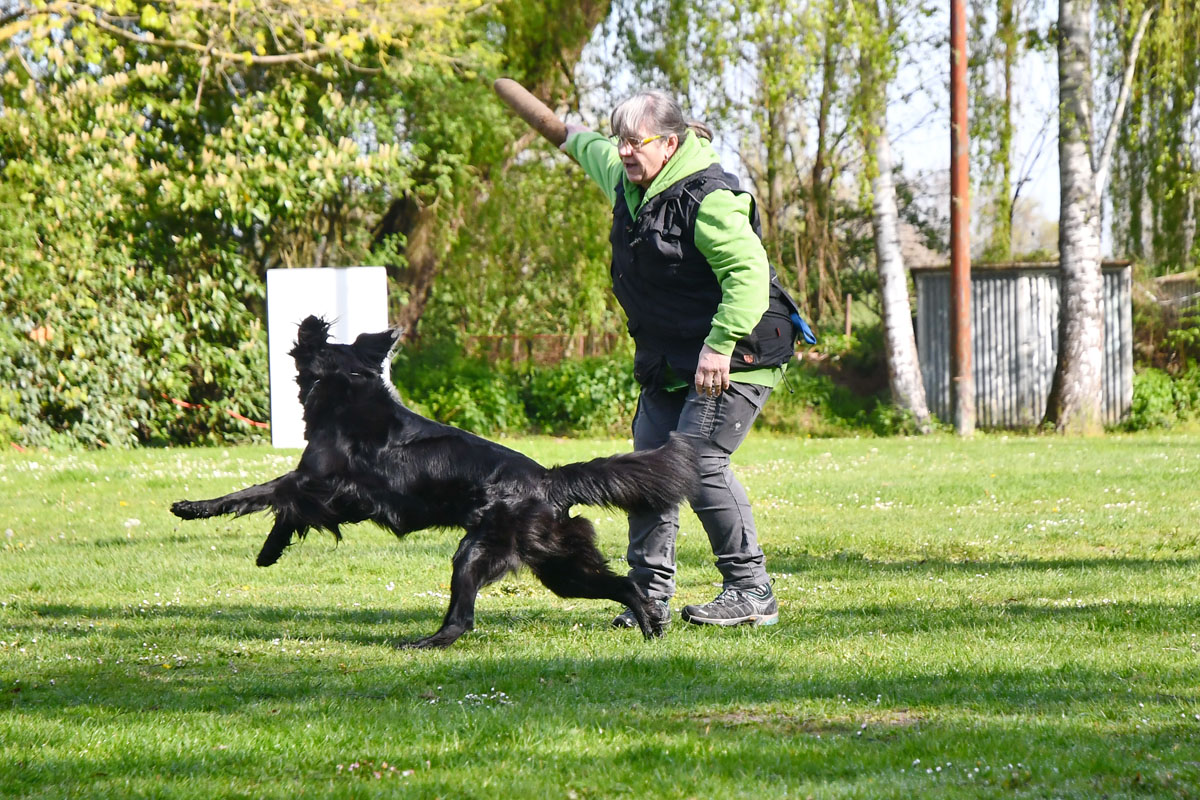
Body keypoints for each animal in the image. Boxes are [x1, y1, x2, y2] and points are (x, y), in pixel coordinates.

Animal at [168, 316, 696, 647]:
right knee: (624, 586)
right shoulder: (333, 496)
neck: (346, 389)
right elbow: (281, 509)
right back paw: (652, 629)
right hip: (557, 566)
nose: (308, 322)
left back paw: (425, 642)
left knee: (463, 619)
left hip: (480, 553)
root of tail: (549, 480)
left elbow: (258, 494)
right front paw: (268, 552)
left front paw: (196, 509)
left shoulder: (315, 482)